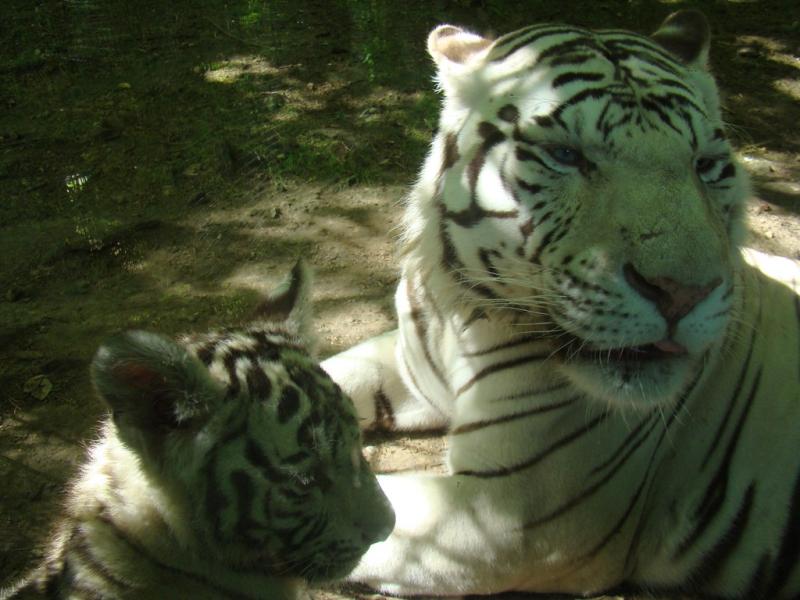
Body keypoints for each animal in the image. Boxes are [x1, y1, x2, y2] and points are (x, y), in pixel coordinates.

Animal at [321, 10, 800, 600]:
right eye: (565, 154)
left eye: (706, 164)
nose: (683, 291)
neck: (458, 318)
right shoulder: (408, 366)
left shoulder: (510, 516)